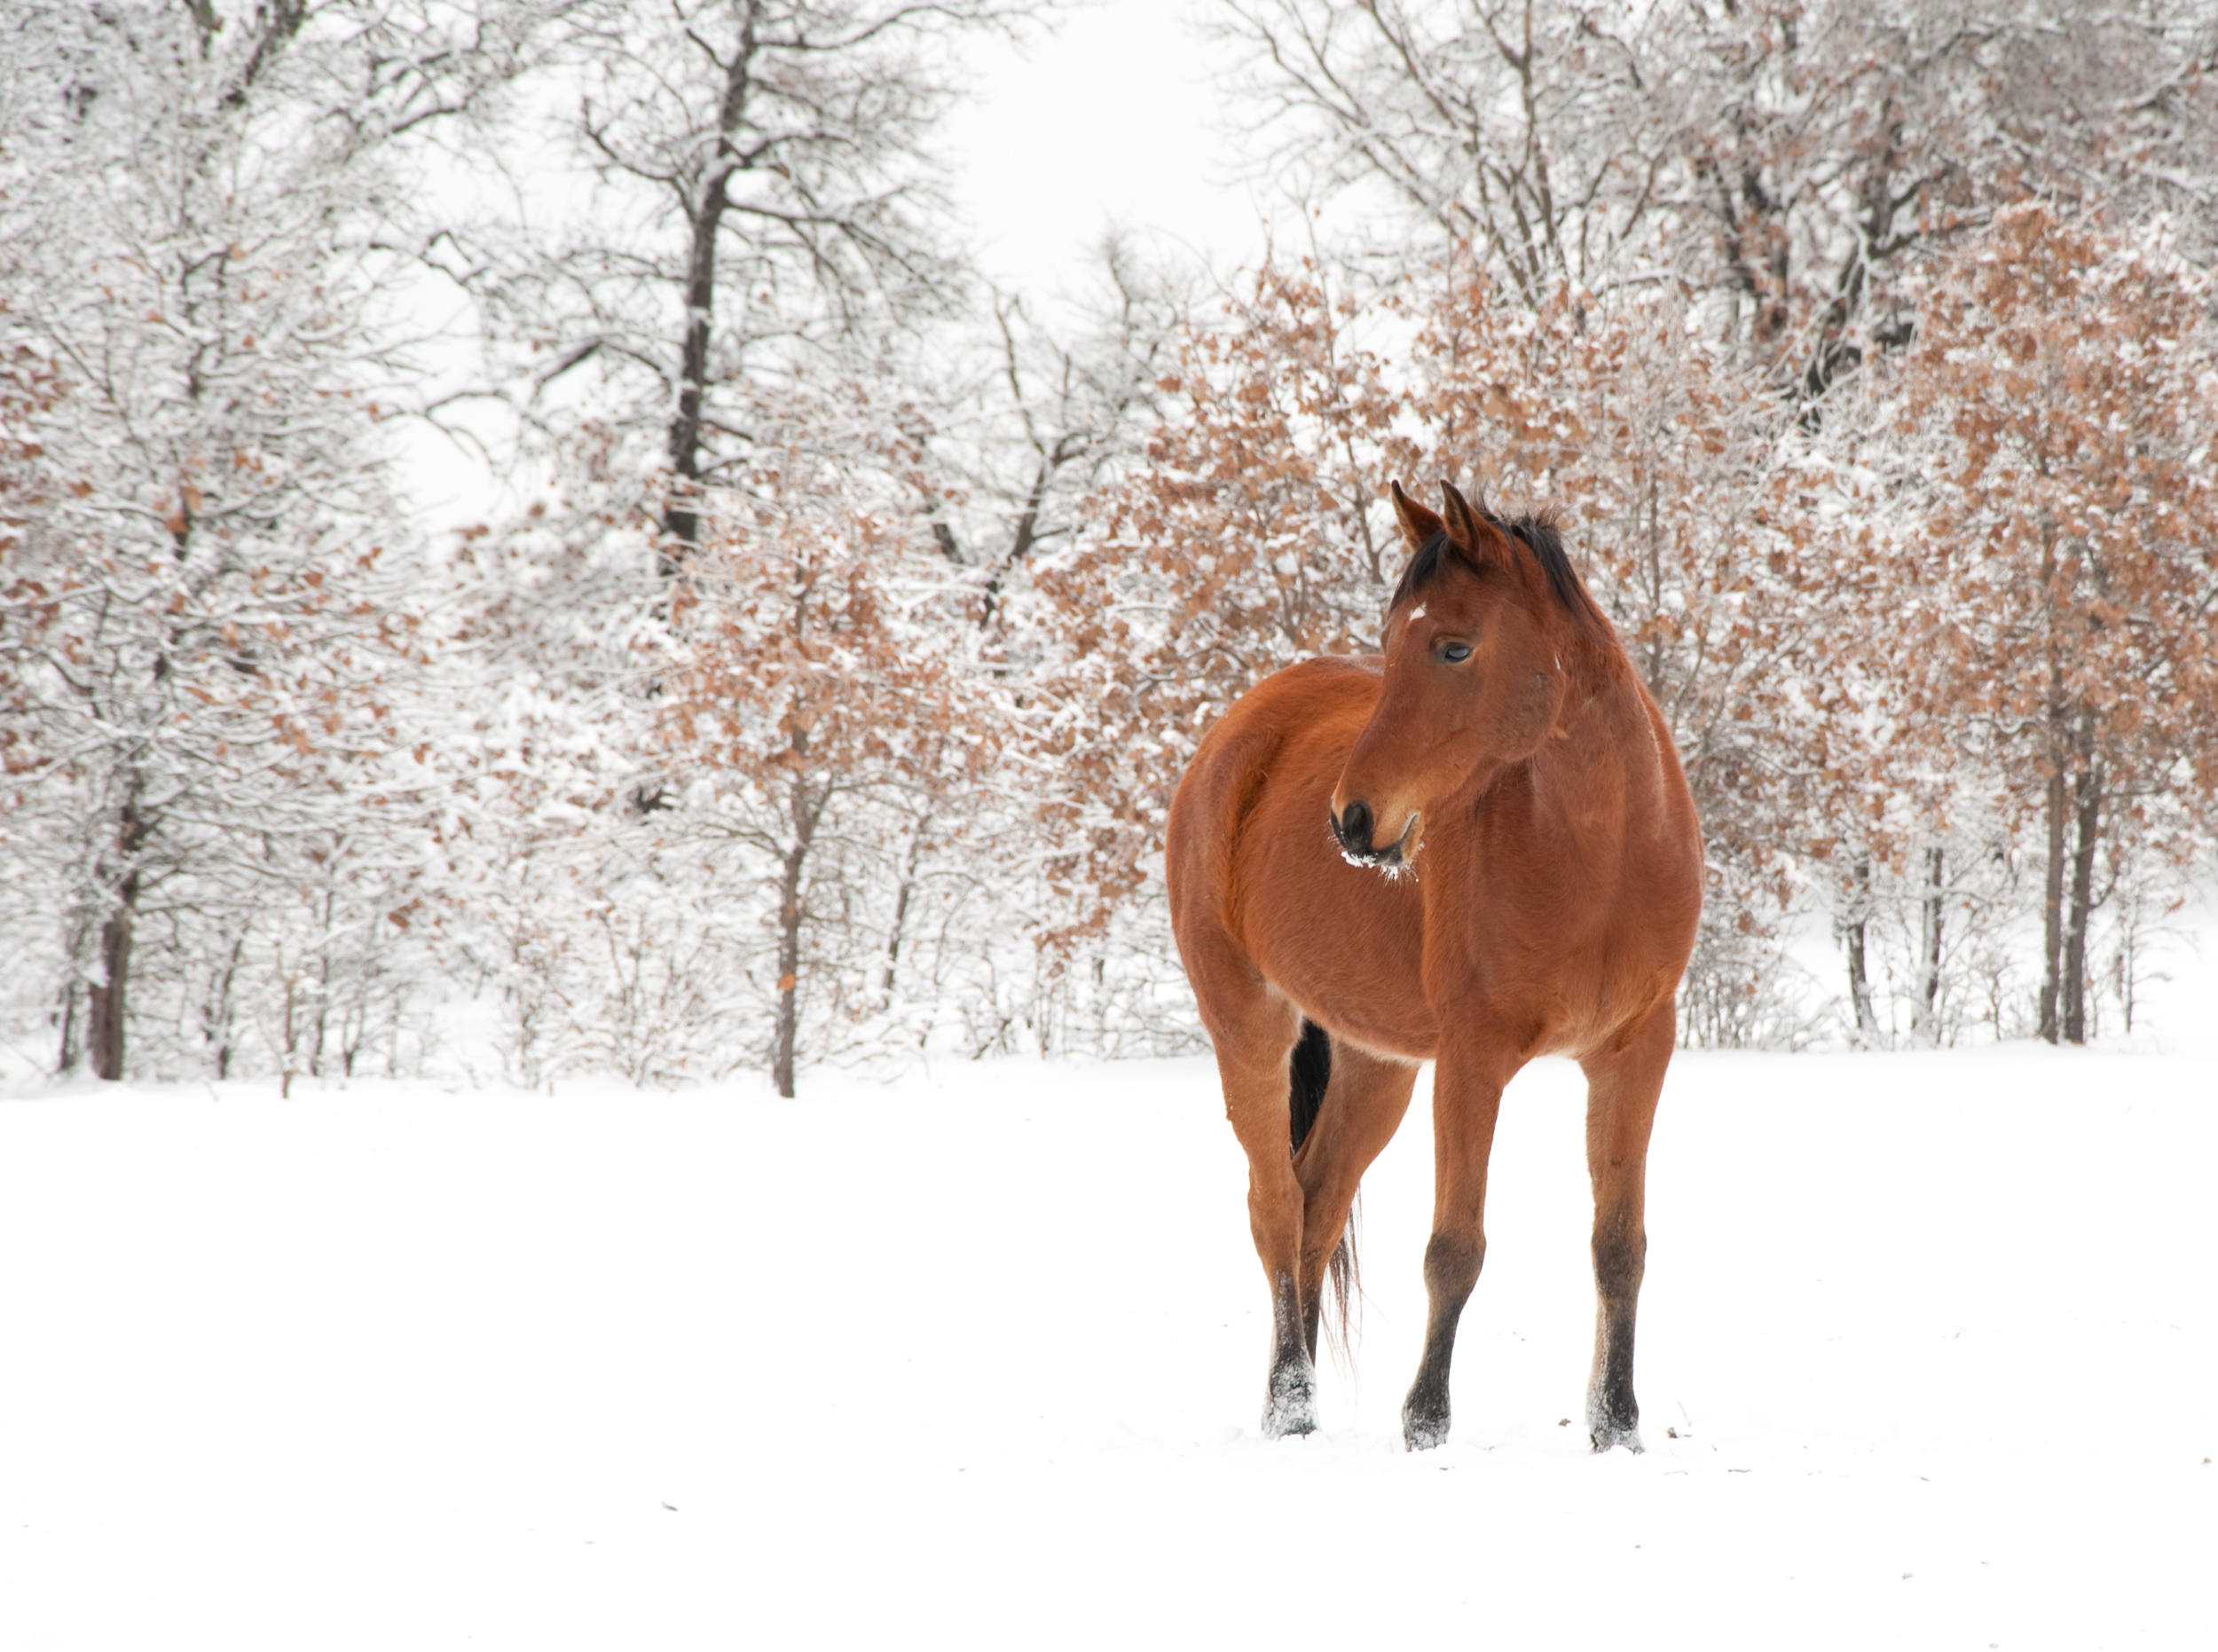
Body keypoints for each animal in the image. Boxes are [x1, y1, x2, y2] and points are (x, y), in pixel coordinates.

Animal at [1171, 483, 1703, 1445]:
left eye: (1454, 645)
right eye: (1389, 644)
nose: (1352, 818)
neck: (1599, 856)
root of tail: (1235, 734)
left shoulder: (1635, 1051)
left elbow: (1619, 1244)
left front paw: (1617, 1425)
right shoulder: (1472, 1058)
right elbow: (1455, 1246)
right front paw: (1425, 1420)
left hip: (1376, 1063)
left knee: (1316, 1204)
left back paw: (1299, 1396)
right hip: (1248, 1026)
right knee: (1274, 1209)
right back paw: (1289, 1403)